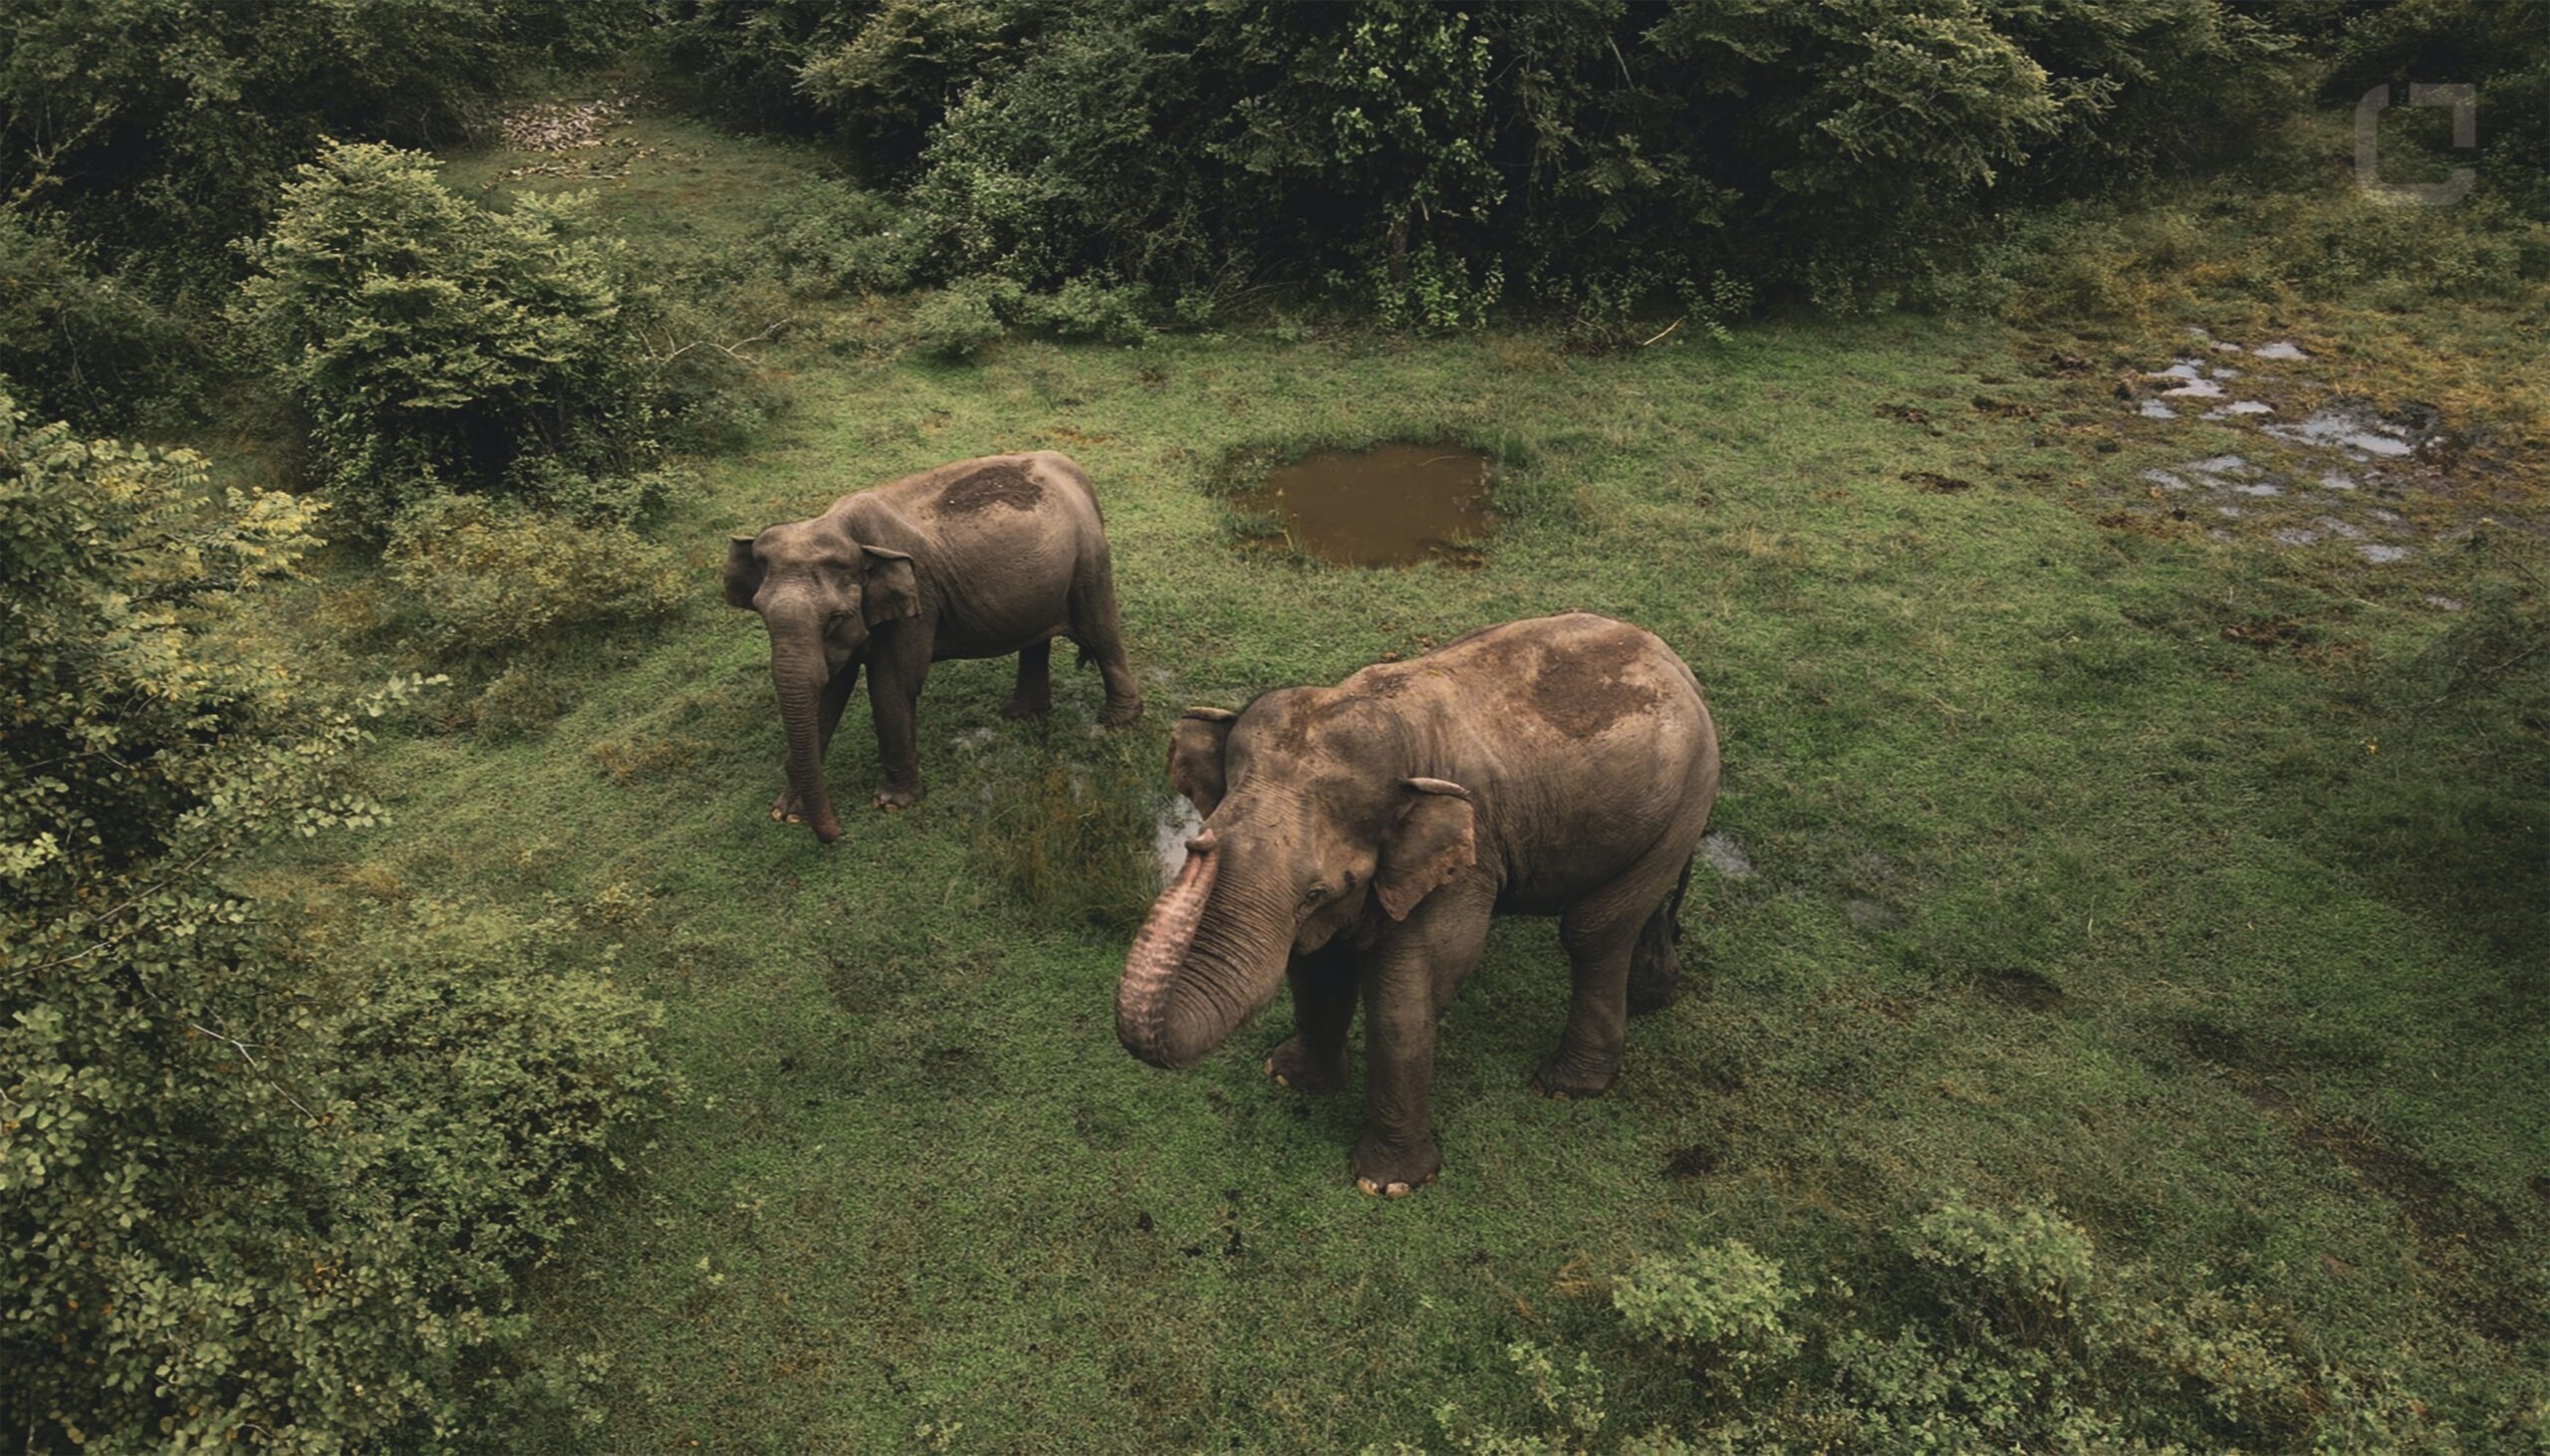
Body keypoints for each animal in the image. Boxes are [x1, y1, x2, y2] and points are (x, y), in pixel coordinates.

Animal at [729, 453, 1148, 841]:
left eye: (835, 617)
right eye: (761, 613)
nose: (838, 834)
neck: (842, 529)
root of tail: (1071, 468)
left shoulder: (918, 600)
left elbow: (893, 683)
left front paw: (891, 805)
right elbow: (830, 690)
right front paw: (785, 812)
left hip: (1088, 563)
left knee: (1100, 634)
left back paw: (1115, 722)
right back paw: (1020, 713)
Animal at [1112, 611, 1713, 1198]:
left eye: (1316, 892)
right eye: (1205, 831)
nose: (1198, 847)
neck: (1390, 717)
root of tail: (1674, 662)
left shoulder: (1467, 861)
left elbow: (1407, 996)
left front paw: (1388, 1183)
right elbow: (1317, 968)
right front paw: (1288, 1077)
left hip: (1687, 796)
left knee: (1593, 931)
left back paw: (1566, 1087)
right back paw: (1651, 997)